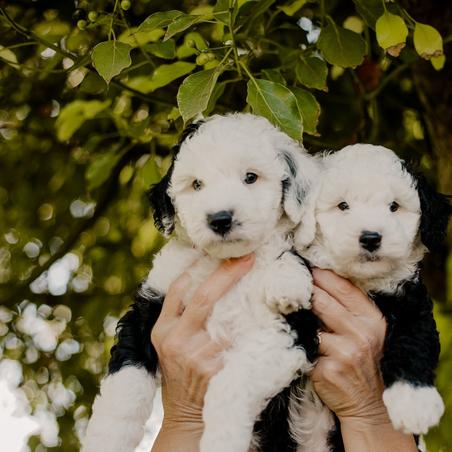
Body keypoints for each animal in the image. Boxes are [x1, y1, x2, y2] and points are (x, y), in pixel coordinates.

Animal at [82, 113, 321, 452]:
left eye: (250, 177)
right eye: (197, 184)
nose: (220, 219)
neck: (223, 262)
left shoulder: (291, 331)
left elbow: (231, 383)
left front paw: (222, 438)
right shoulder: (149, 309)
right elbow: (124, 385)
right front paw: (104, 440)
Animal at [286, 144, 450, 451]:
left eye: (394, 207)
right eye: (343, 206)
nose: (371, 238)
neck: (361, 281)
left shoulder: (411, 301)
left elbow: (413, 340)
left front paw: (414, 402)